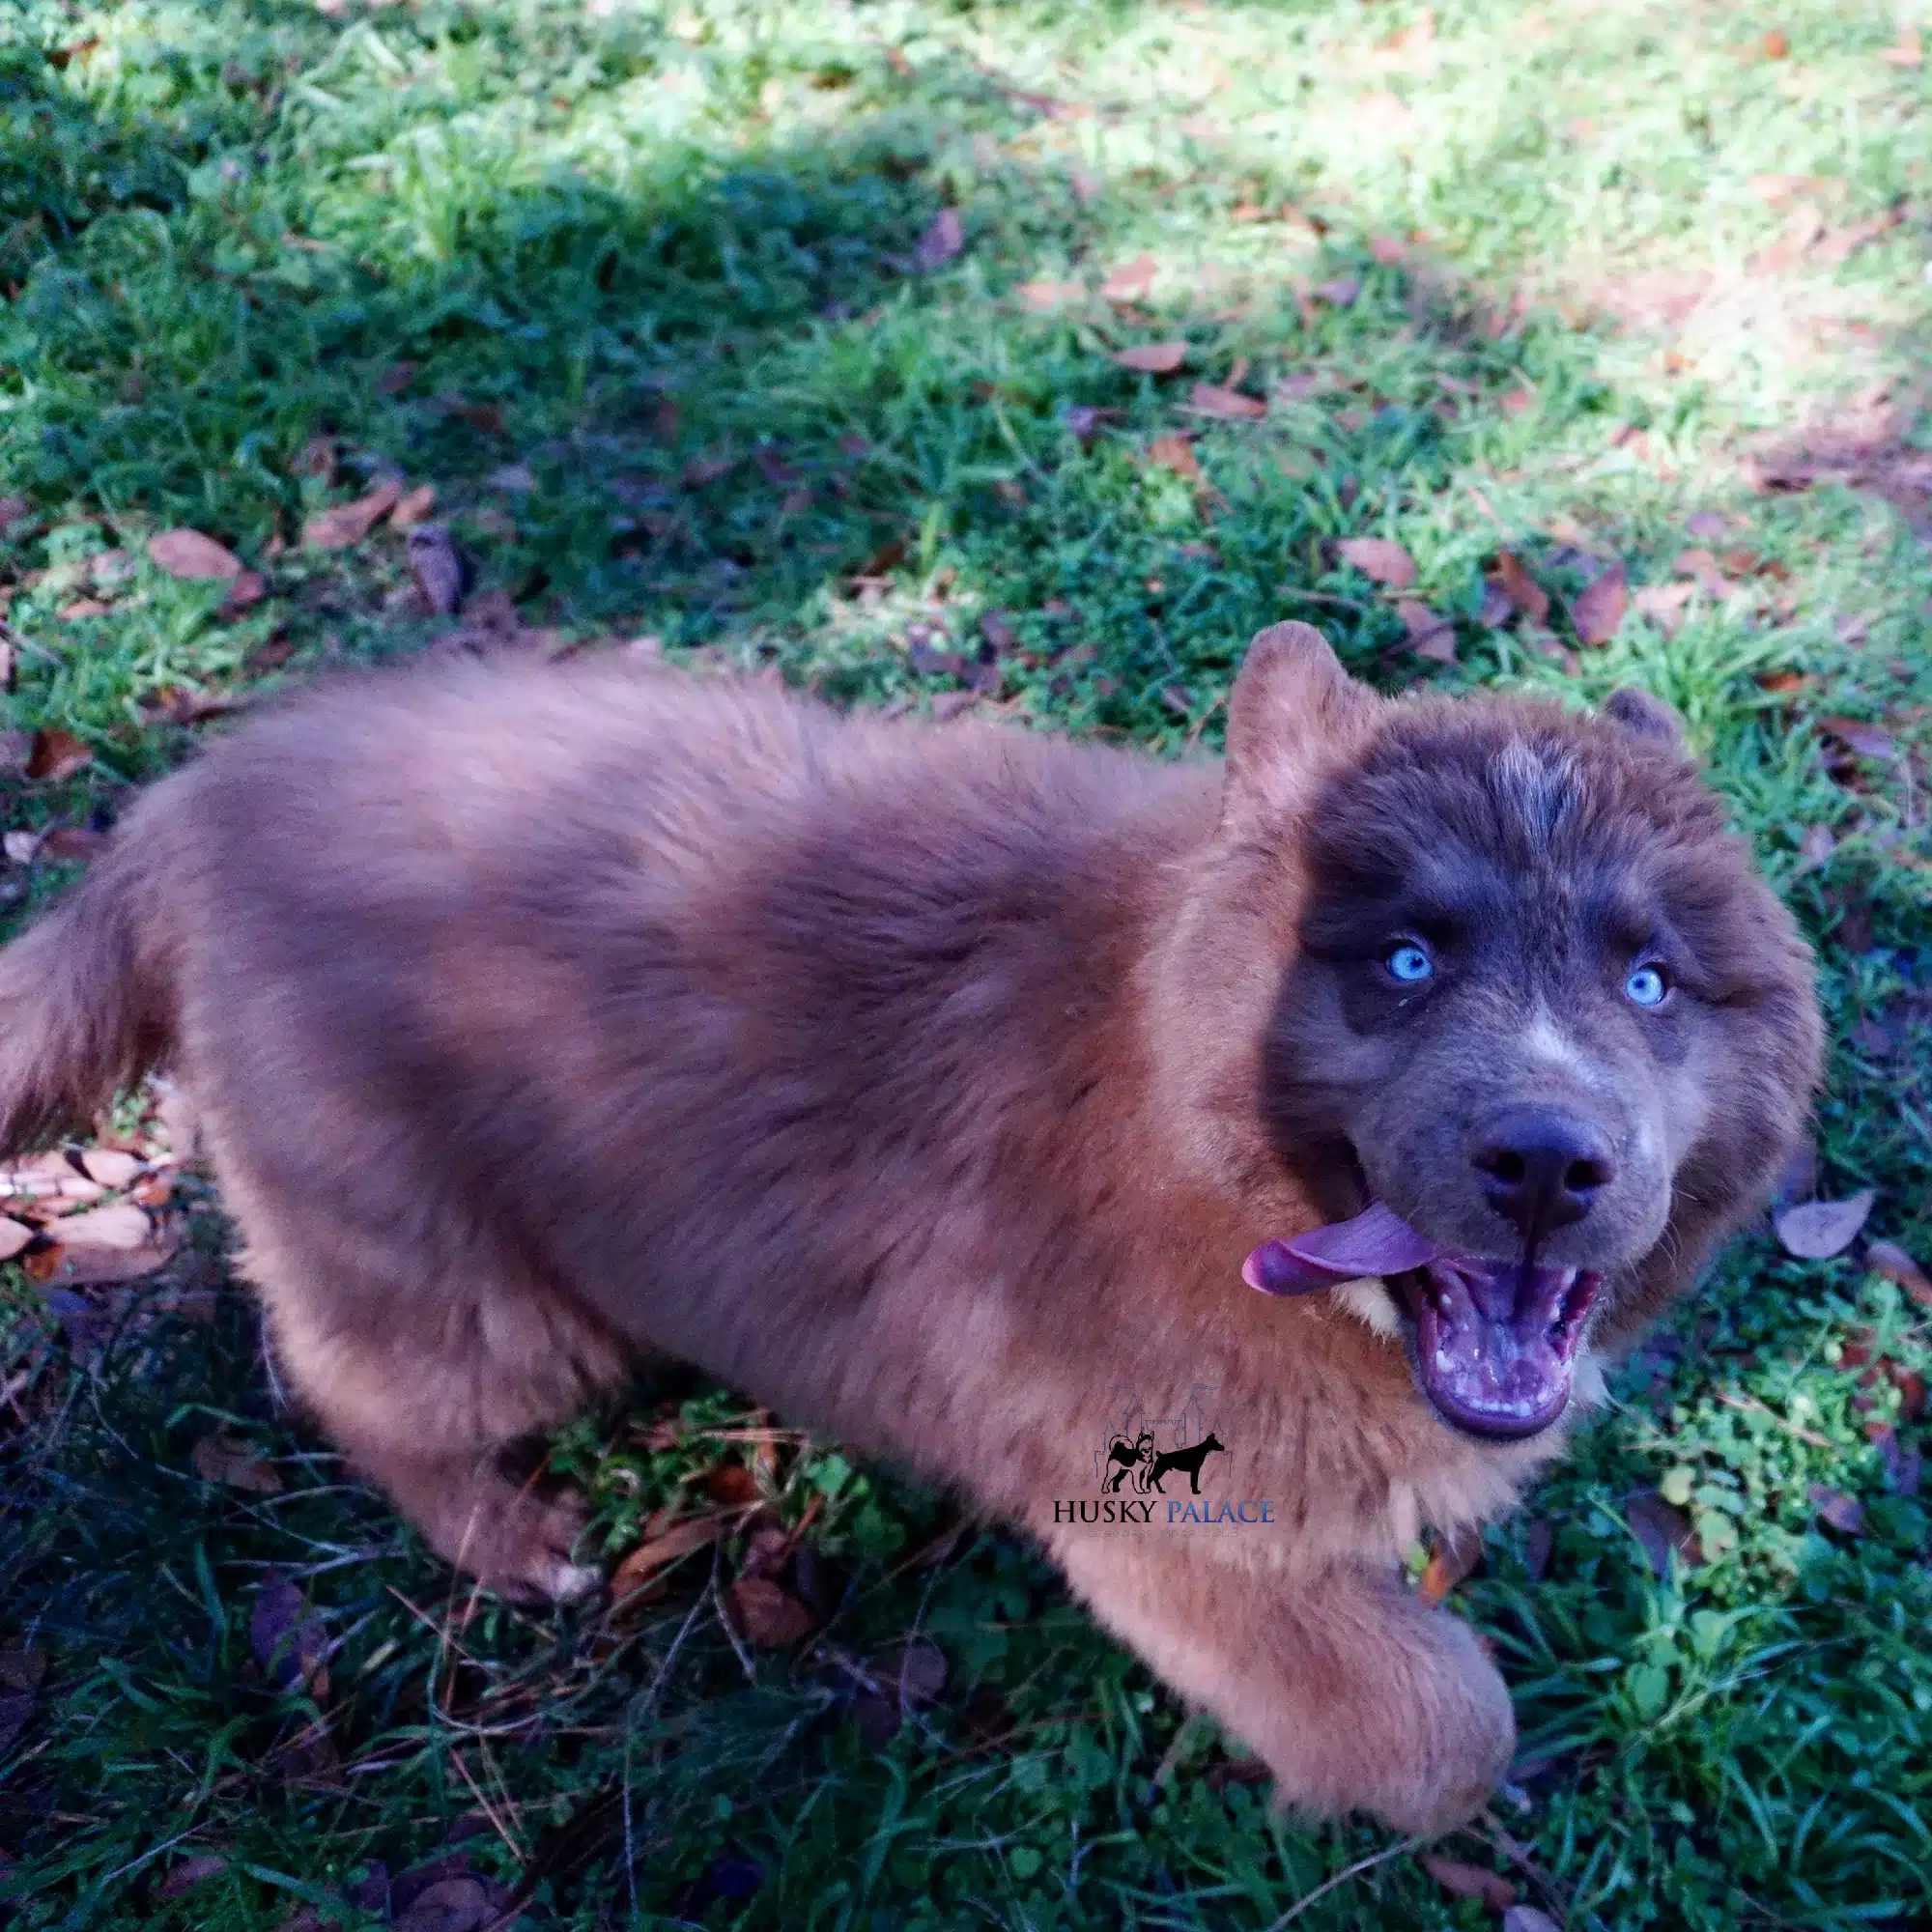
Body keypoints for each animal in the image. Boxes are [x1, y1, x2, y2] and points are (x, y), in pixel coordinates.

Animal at [0, 630, 1816, 1824]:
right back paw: (510, 1538)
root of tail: (191, 804)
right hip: (438, 1255)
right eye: (1405, 962)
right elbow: (1449, 1722)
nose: (1547, 1167)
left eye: (1652, 980)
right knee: (354, 1382)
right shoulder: (1174, 1530)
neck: (1175, 1104)